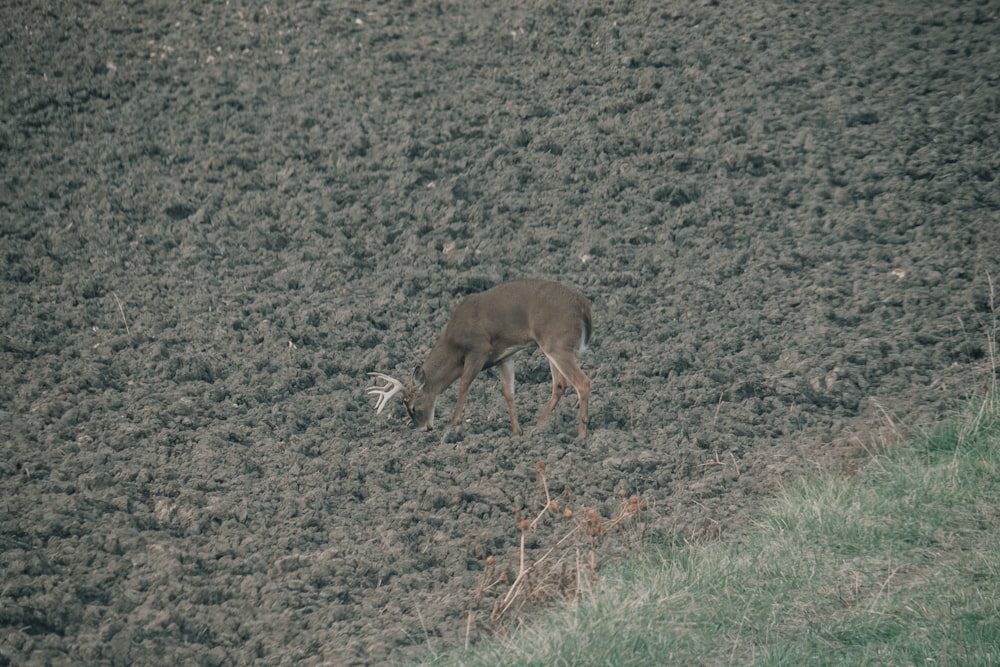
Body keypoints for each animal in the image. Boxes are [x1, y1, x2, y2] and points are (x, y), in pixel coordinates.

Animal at [370, 280, 592, 438]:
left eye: (413, 406)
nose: (422, 428)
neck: (453, 345)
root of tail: (583, 305)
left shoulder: (479, 349)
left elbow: (463, 384)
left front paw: (454, 423)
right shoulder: (505, 356)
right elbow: (508, 392)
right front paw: (516, 431)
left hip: (556, 343)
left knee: (583, 382)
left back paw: (581, 434)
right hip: (552, 346)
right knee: (560, 384)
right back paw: (537, 428)